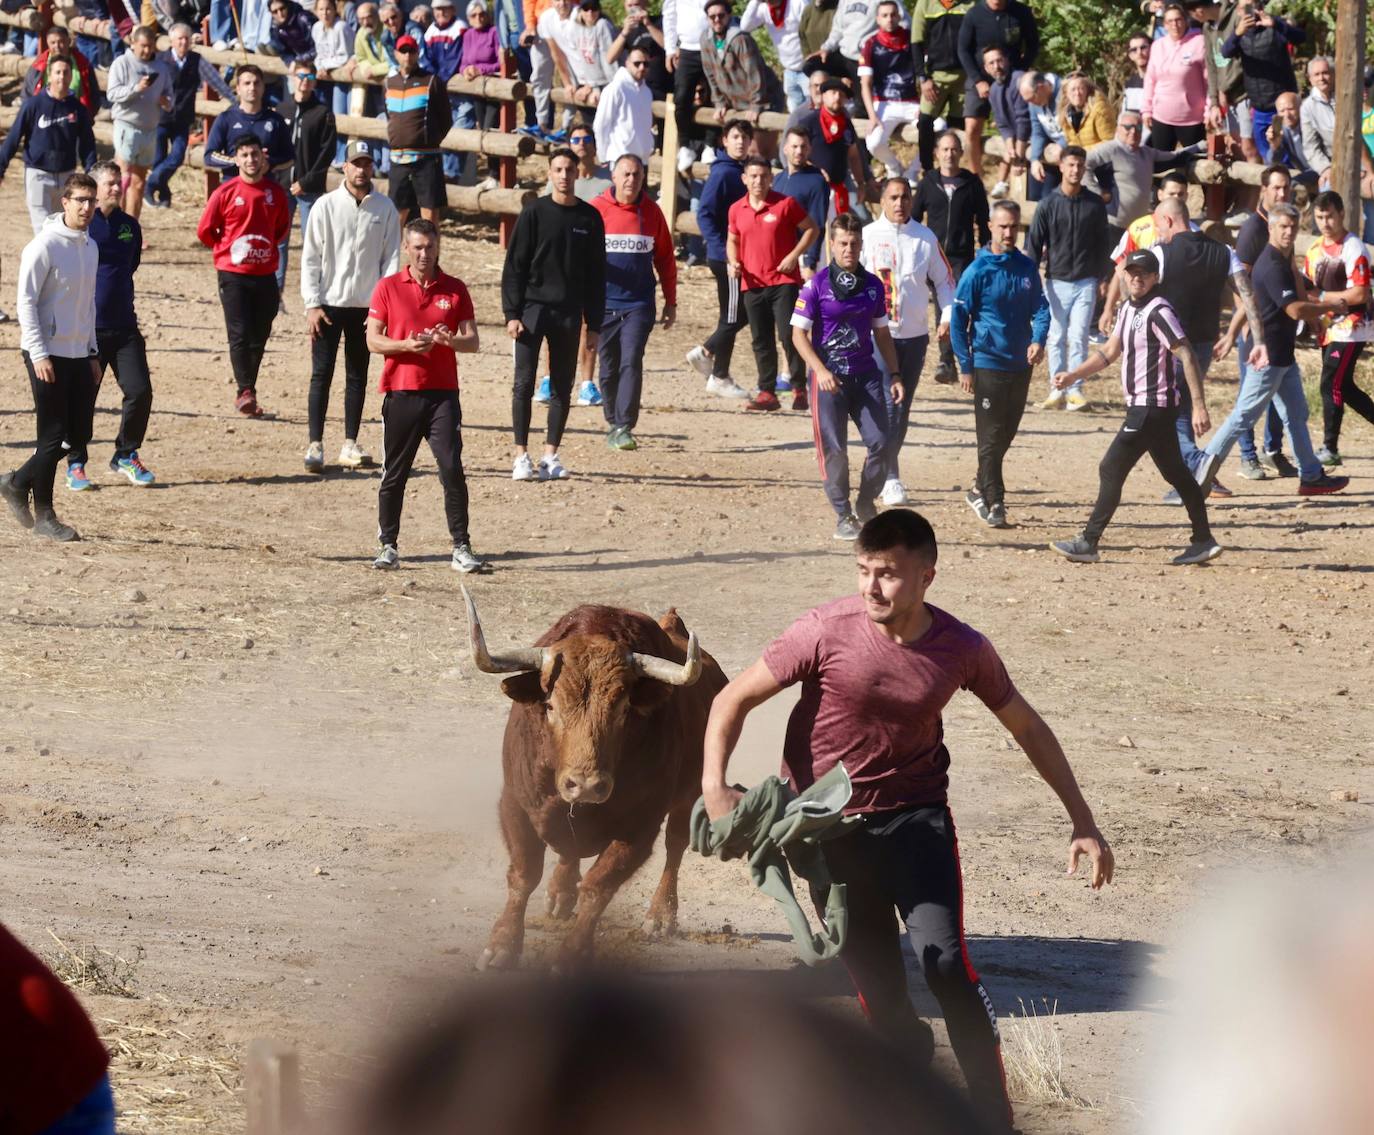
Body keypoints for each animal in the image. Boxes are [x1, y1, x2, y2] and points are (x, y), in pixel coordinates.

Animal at [464, 582, 730, 961]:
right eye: (550, 705)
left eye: (623, 709)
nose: (586, 785)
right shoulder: (515, 803)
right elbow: (524, 874)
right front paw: (501, 946)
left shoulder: (640, 827)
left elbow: (598, 886)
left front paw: (572, 954)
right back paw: (560, 894)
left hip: (690, 794)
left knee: (675, 844)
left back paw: (660, 915)